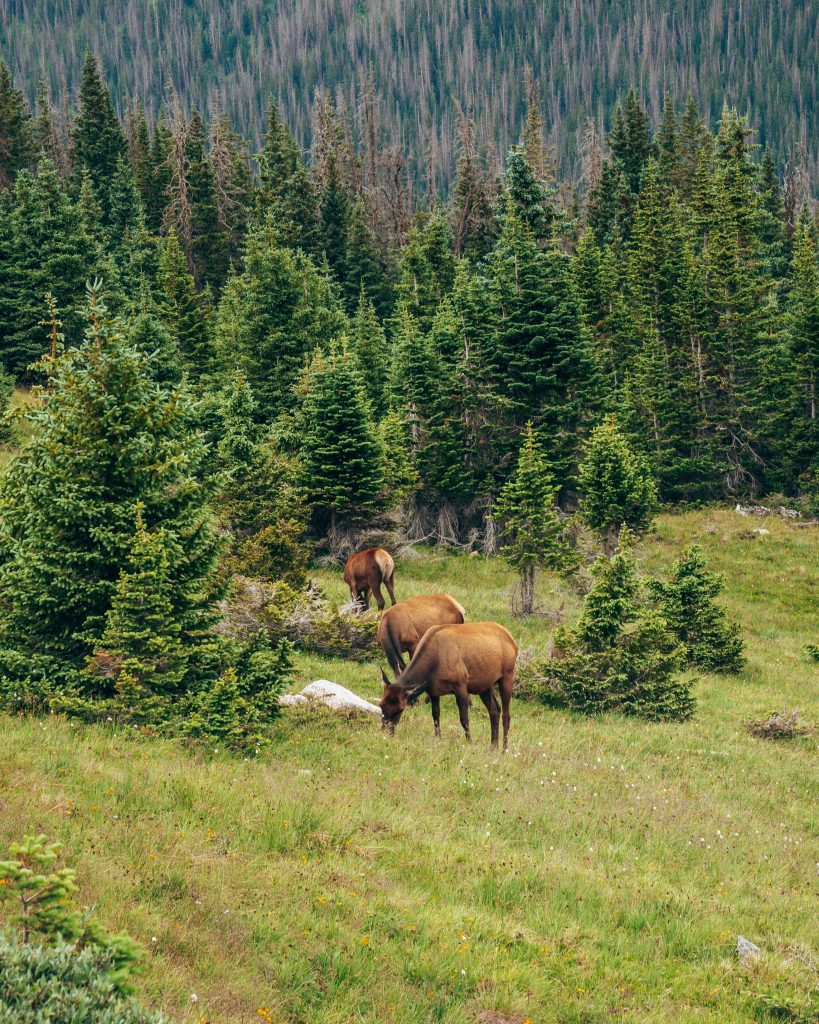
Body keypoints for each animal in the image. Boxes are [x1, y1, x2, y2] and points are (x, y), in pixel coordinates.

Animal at [378, 614, 518, 753]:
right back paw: (493, 747)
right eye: (381, 705)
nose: (385, 733)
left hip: (507, 675)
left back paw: (504, 750)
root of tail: (513, 641)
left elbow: (464, 719)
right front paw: (438, 738)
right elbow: (435, 715)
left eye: (400, 709)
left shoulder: (460, 685)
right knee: (495, 710)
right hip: (484, 685)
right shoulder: (433, 690)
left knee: (506, 715)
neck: (433, 665)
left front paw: (469, 743)